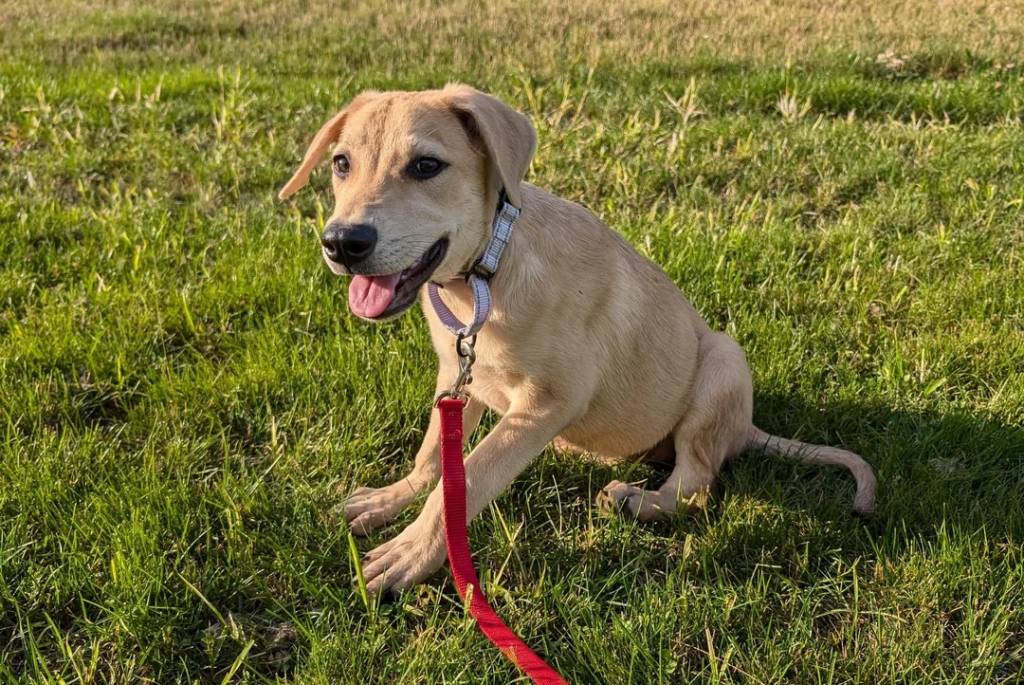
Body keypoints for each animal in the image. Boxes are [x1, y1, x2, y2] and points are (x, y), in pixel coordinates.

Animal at [279, 85, 877, 594]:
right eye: (341, 164)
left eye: (427, 166)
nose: (342, 242)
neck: (484, 278)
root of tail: (746, 427)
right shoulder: (458, 377)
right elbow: (434, 458)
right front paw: (390, 499)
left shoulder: (548, 400)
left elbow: (473, 477)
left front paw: (410, 552)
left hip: (724, 361)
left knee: (696, 484)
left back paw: (639, 501)